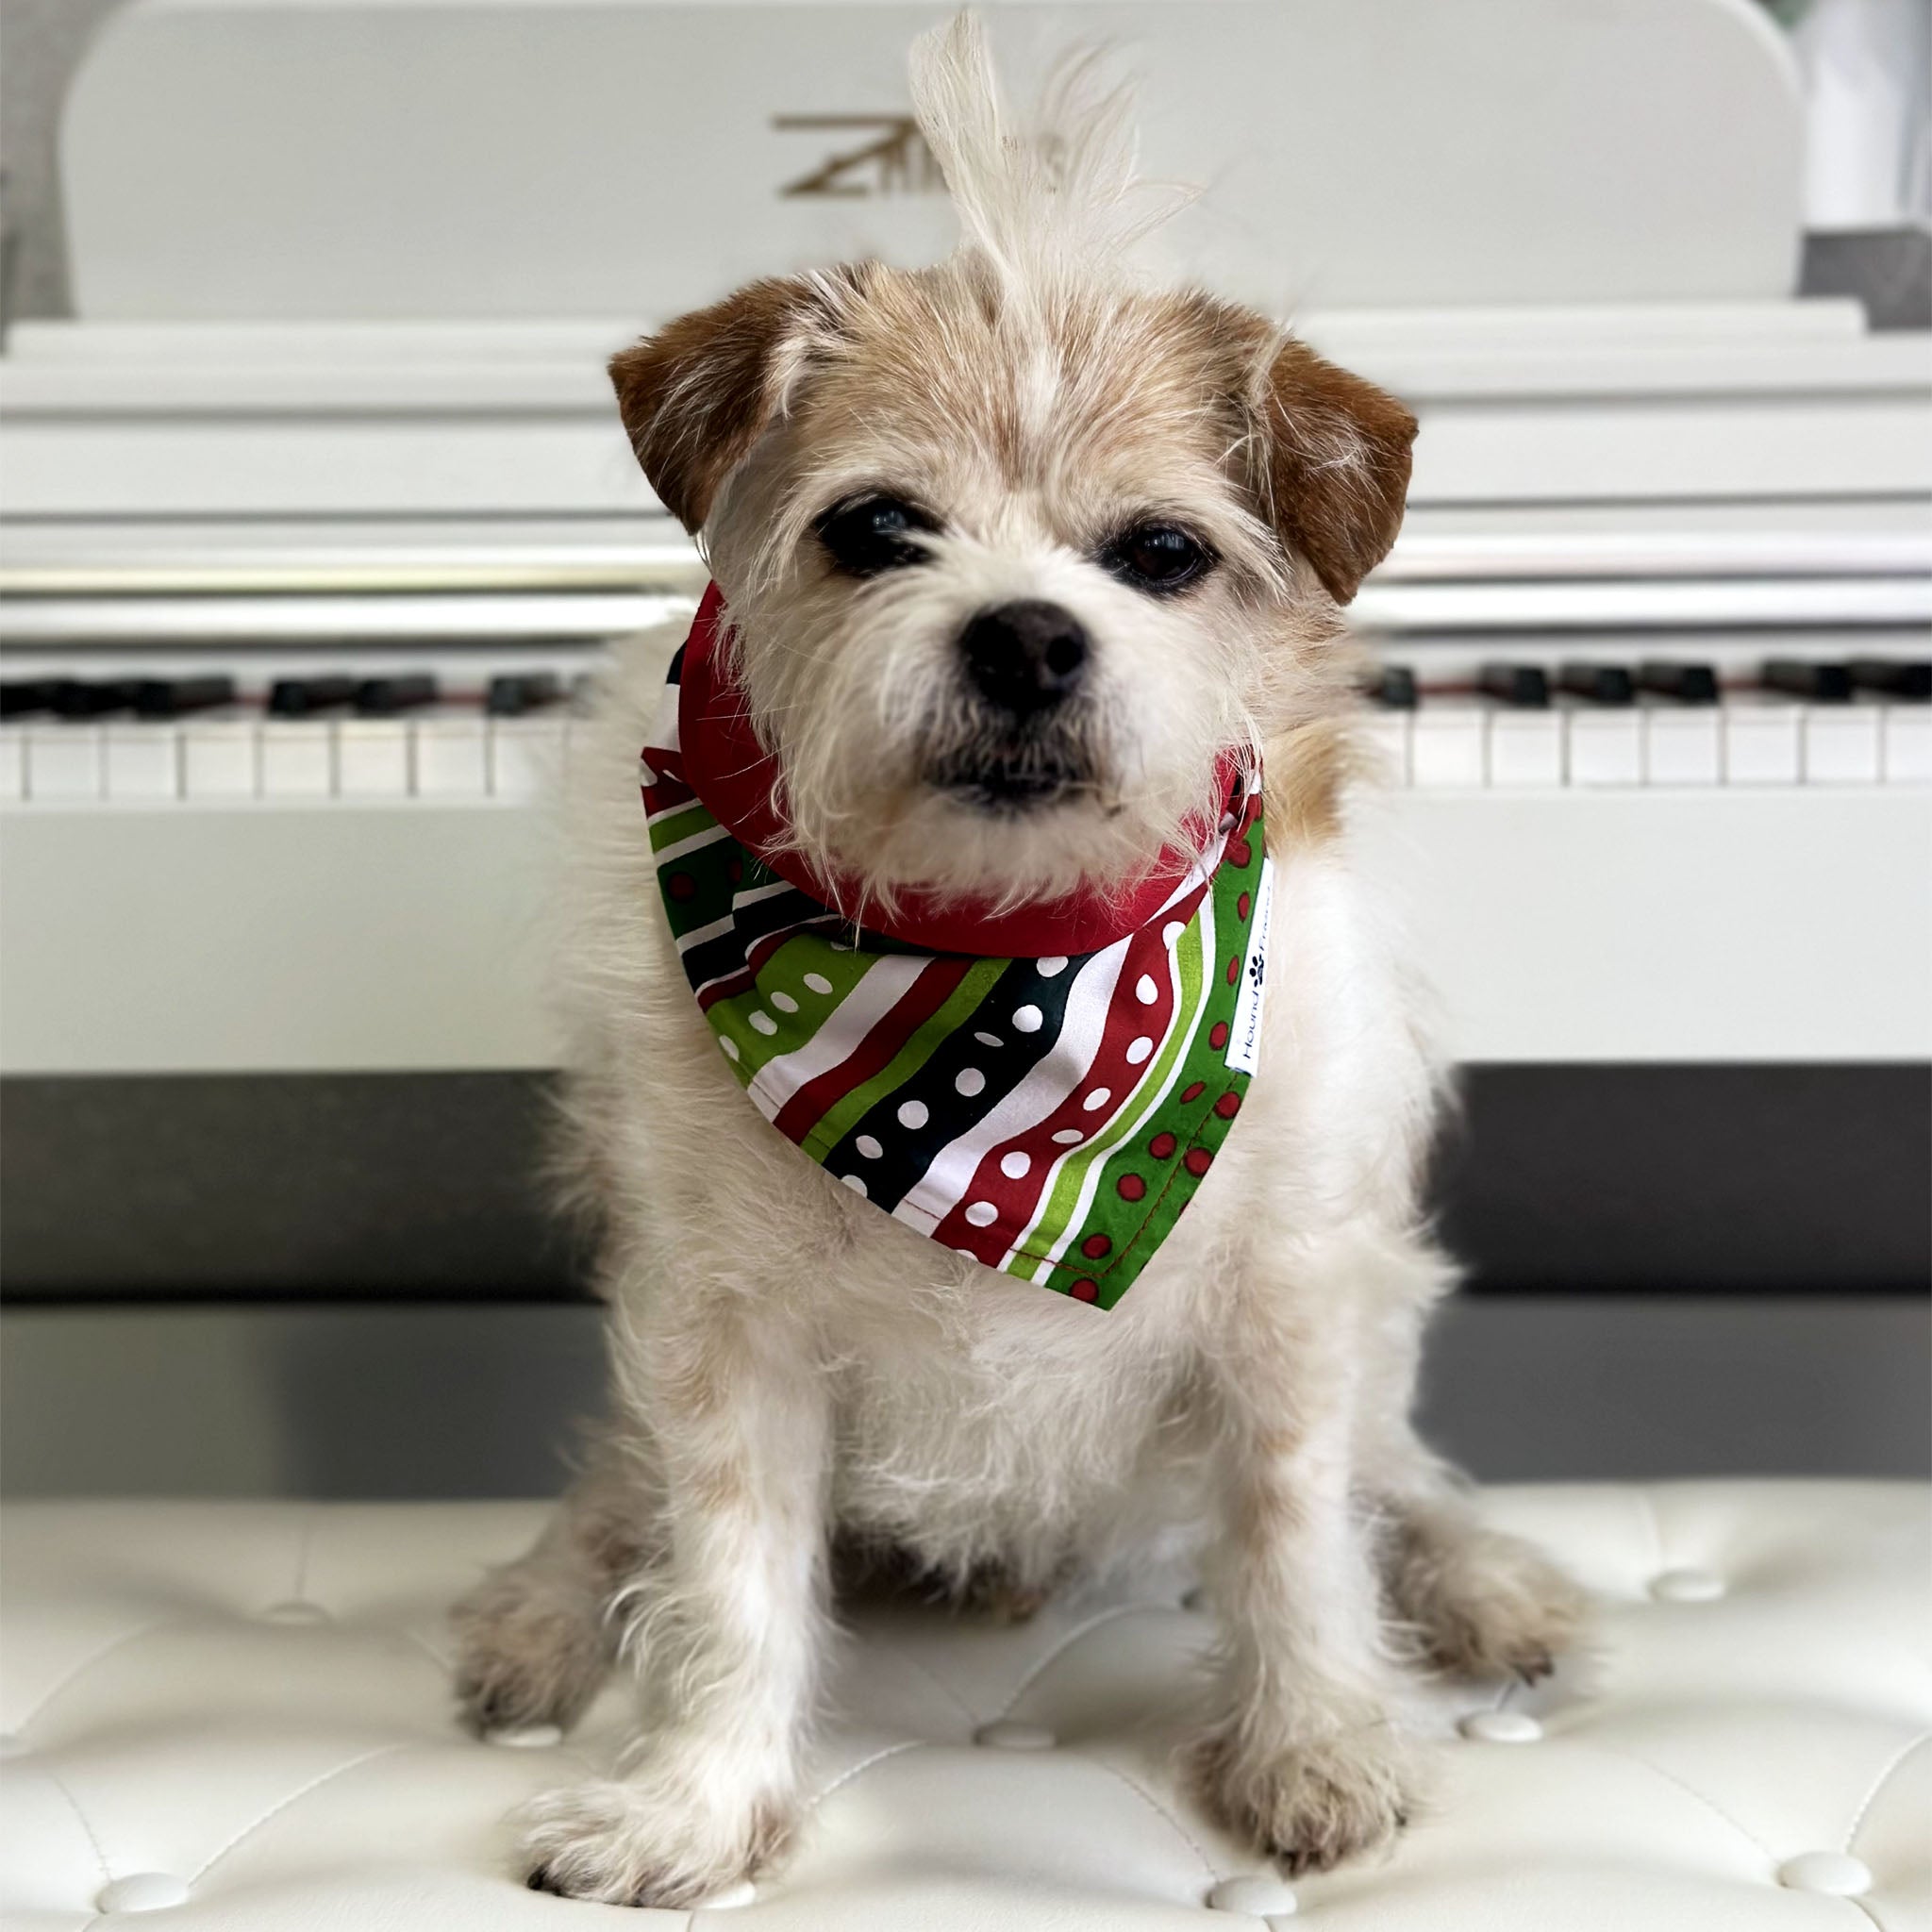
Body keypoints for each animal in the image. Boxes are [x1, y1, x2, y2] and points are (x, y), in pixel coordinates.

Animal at [452, 15, 1584, 1908]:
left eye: (1160, 553)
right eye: (874, 528)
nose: (1029, 635)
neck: (995, 976)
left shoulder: (1286, 1301)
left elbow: (1295, 1531)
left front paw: (1315, 1746)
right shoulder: (722, 1336)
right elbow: (723, 1581)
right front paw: (688, 1803)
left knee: (1394, 1468)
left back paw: (1488, 1583)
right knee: (615, 1496)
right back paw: (537, 1617)